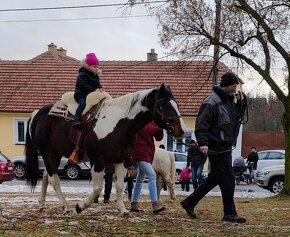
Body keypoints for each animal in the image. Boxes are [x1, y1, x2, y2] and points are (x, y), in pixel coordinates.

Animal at [24, 84, 186, 215]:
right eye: (166, 106)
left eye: (176, 104)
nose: (182, 130)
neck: (118, 124)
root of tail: (37, 114)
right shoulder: (98, 161)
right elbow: (98, 188)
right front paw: (80, 206)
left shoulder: (121, 161)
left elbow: (119, 186)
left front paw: (123, 210)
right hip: (48, 153)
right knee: (54, 180)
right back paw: (65, 207)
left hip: (54, 155)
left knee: (46, 177)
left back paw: (42, 204)